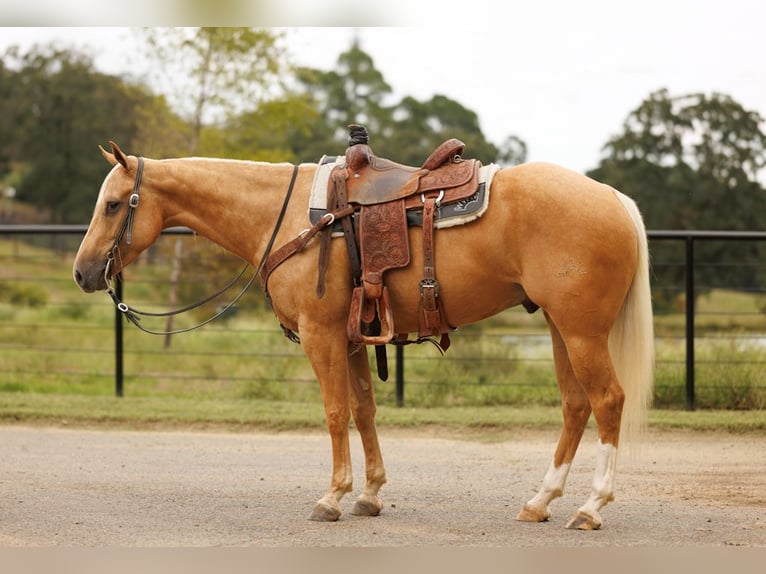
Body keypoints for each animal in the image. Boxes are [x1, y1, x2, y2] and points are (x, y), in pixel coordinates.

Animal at [73, 140, 654, 530]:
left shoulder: (321, 335)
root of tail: (614, 199)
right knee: (575, 405)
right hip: (560, 328)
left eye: (111, 204)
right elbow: (364, 409)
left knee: (607, 400)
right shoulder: (353, 337)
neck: (288, 217)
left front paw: (332, 496)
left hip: (581, 332)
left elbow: (334, 412)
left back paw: (590, 507)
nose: (82, 273)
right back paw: (541, 501)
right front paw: (370, 494)